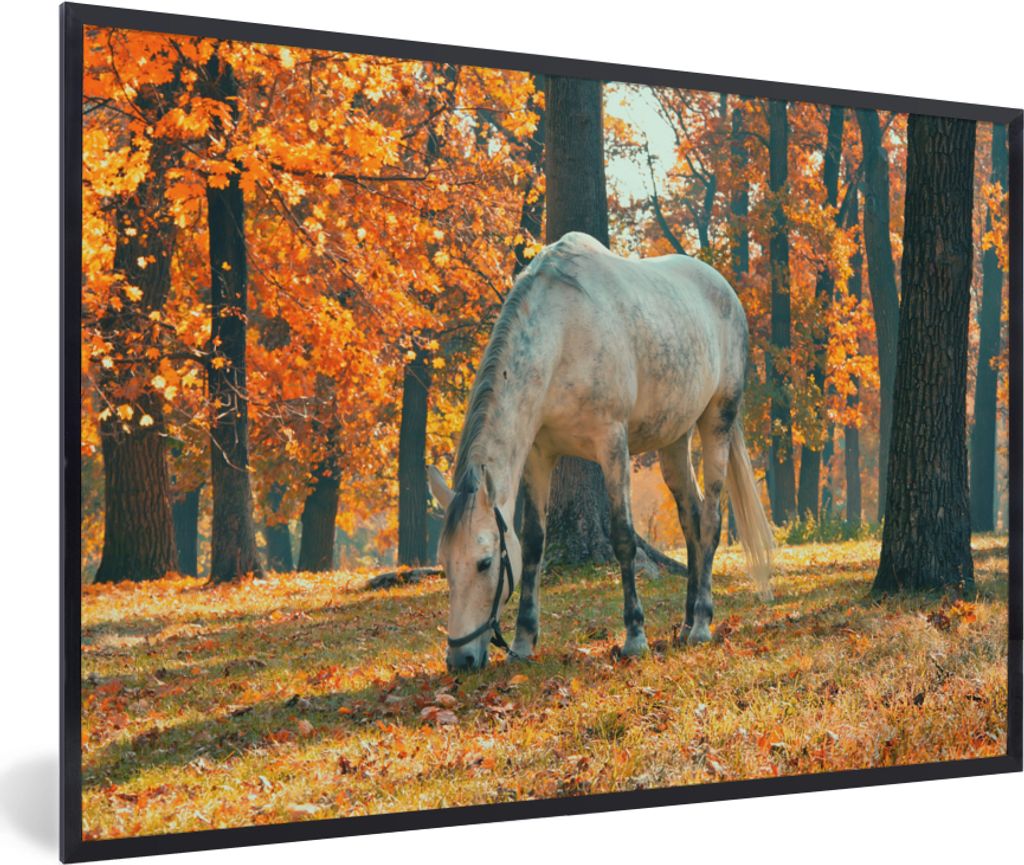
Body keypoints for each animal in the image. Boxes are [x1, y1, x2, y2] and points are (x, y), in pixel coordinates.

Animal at [428, 232, 774, 671]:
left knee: (710, 521)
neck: (562, 332)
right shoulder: (539, 455)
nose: (460, 659)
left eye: (485, 562)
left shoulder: (612, 444)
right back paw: (684, 623)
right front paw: (523, 642)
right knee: (692, 520)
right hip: (674, 439)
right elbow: (535, 542)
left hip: (717, 422)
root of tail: (725, 289)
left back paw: (701, 625)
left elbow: (623, 536)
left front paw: (635, 636)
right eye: (444, 563)